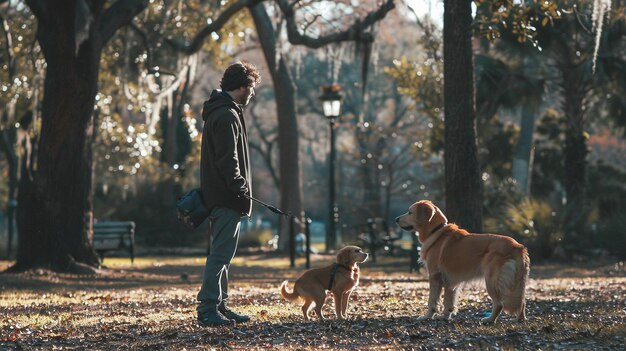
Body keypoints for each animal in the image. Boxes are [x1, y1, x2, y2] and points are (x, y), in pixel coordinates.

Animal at [394, 201, 528, 324]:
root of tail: (518, 246)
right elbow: (448, 301)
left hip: (492, 281)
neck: (436, 231)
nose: (396, 219)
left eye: (410, 212)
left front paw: (427, 316)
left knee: (499, 304)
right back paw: (520, 319)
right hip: (517, 283)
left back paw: (489, 319)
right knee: (522, 301)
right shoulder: (449, 281)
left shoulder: (434, 276)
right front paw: (445, 316)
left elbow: (432, 300)